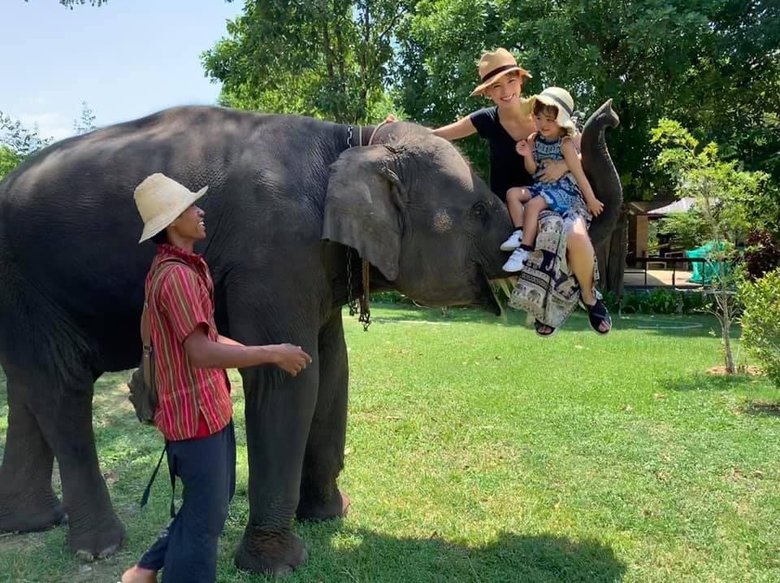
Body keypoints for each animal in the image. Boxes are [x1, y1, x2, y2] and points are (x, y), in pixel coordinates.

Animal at [0, 104, 620, 576]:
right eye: (480, 209)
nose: (607, 115)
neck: (350, 139)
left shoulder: (316, 262)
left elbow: (333, 369)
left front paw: (328, 516)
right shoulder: (275, 254)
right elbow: (288, 377)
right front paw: (277, 564)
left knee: (28, 387)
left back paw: (31, 524)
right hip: (29, 283)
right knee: (61, 389)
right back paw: (98, 547)